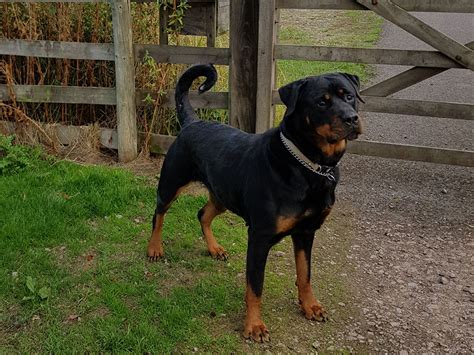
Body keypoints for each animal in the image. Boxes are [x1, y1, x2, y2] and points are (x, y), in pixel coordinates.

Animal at [148, 63, 362, 342]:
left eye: (349, 96)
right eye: (321, 102)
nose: (352, 118)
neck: (309, 166)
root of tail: (192, 122)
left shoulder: (306, 232)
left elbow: (305, 274)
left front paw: (310, 306)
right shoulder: (260, 237)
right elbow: (255, 286)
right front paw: (254, 326)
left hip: (222, 195)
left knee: (202, 214)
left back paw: (214, 248)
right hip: (172, 182)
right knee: (158, 214)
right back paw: (154, 248)